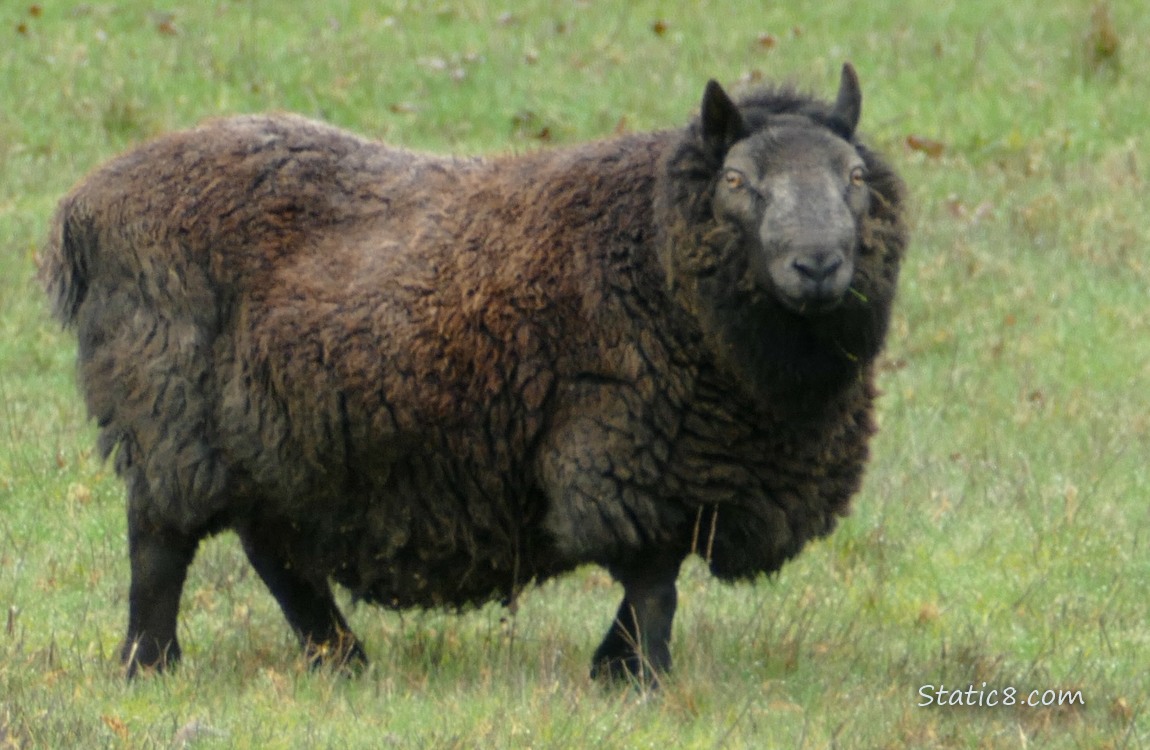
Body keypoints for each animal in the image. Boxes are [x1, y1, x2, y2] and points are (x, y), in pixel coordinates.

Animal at [40, 64, 906, 680]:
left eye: (855, 178)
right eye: (737, 181)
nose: (818, 265)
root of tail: (85, 204)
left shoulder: (695, 465)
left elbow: (653, 585)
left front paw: (614, 670)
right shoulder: (623, 453)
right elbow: (655, 584)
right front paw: (646, 681)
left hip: (276, 436)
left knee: (275, 553)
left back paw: (342, 663)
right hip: (166, 411)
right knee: (160, 545)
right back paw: (149, 666)